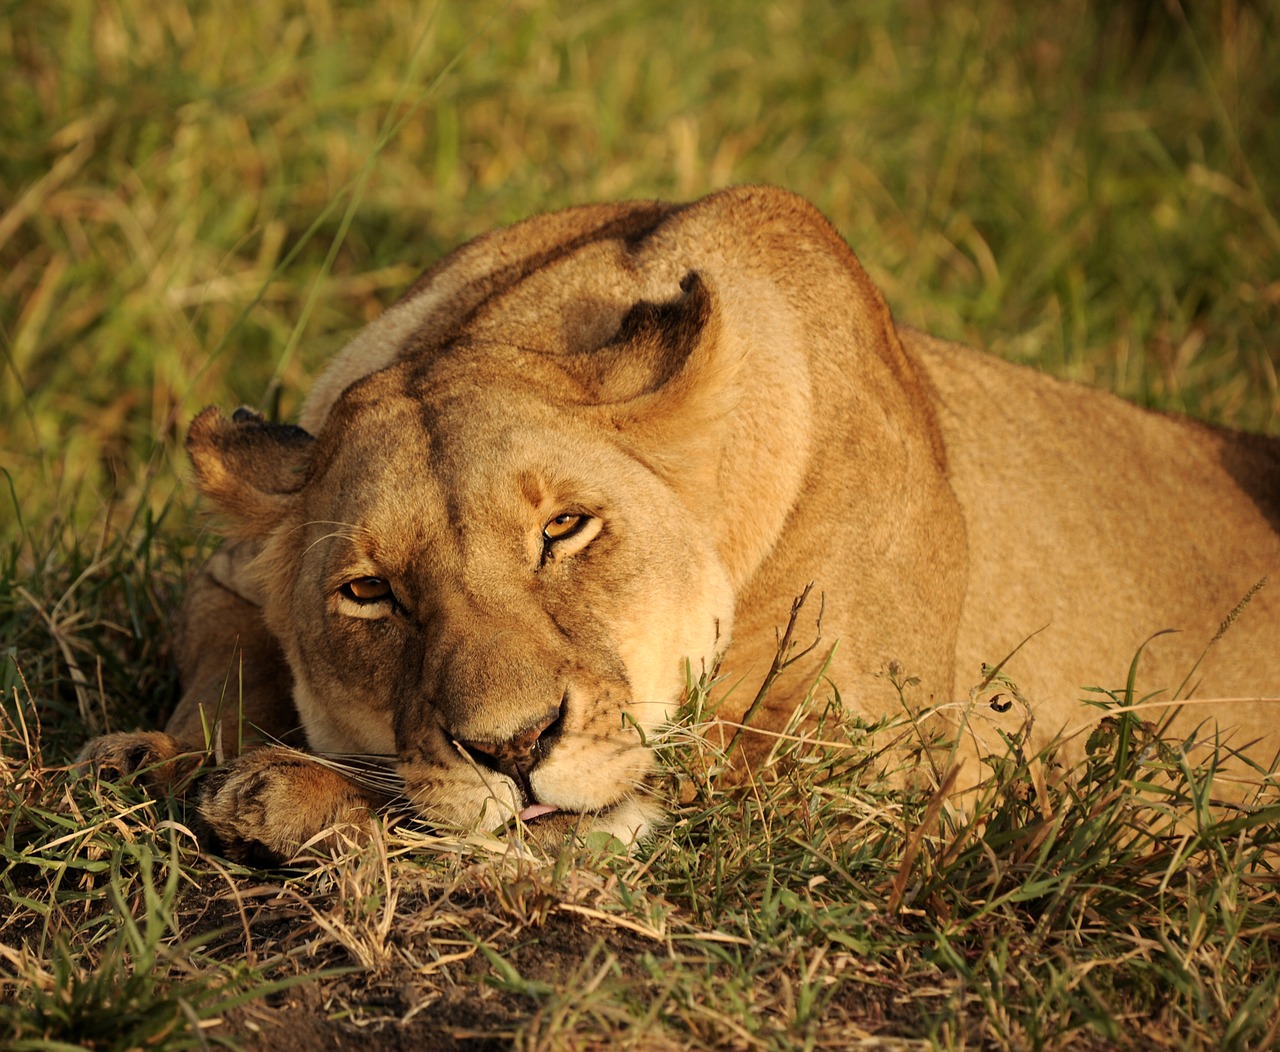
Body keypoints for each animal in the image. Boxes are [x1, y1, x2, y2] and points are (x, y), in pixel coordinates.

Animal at [82, 186, 1280, 865]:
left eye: (566, 528)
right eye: (369, 592)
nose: (513, 746)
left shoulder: (870, 772)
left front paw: (279, 788)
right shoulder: (234, 568)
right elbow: (232, 656)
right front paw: (154, 753)